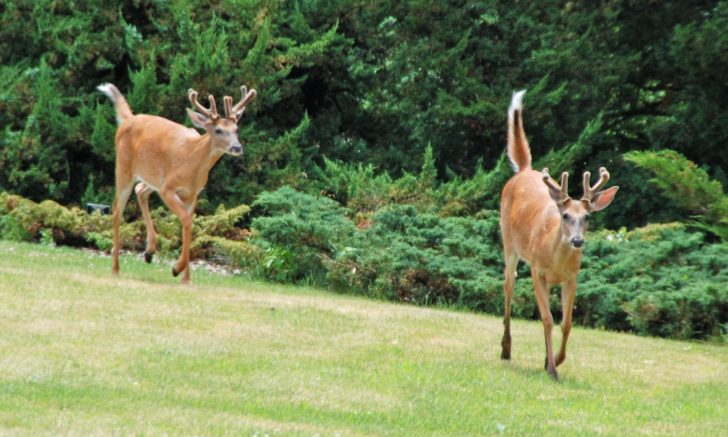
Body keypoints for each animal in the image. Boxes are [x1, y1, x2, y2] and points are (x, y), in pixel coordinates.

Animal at [97, 83, 257, 284]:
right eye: (218, 130)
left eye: (236, 129)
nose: (237, 147)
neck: (192, 162)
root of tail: (129, 119)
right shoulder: (168, 189)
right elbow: (187, 220)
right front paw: (177, 269)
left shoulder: (193, 194)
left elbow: (188, 223)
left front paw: (186, 278)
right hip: (124, 167)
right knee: (117, 208)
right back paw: (116, 268)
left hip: (152, 177)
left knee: (140, 190)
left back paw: (149, 251)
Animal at [499, 90, 619, 380]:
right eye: (564, 215)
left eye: (587, 217)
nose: (577, 241)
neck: (556, 259)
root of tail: (524, 170)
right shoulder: (537, 271)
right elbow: (547, 319)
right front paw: (552, 369)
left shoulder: (571, 277)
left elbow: (566, 322)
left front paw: (554, 360)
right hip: (509, 242)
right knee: (508, 285)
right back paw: (506, 348)